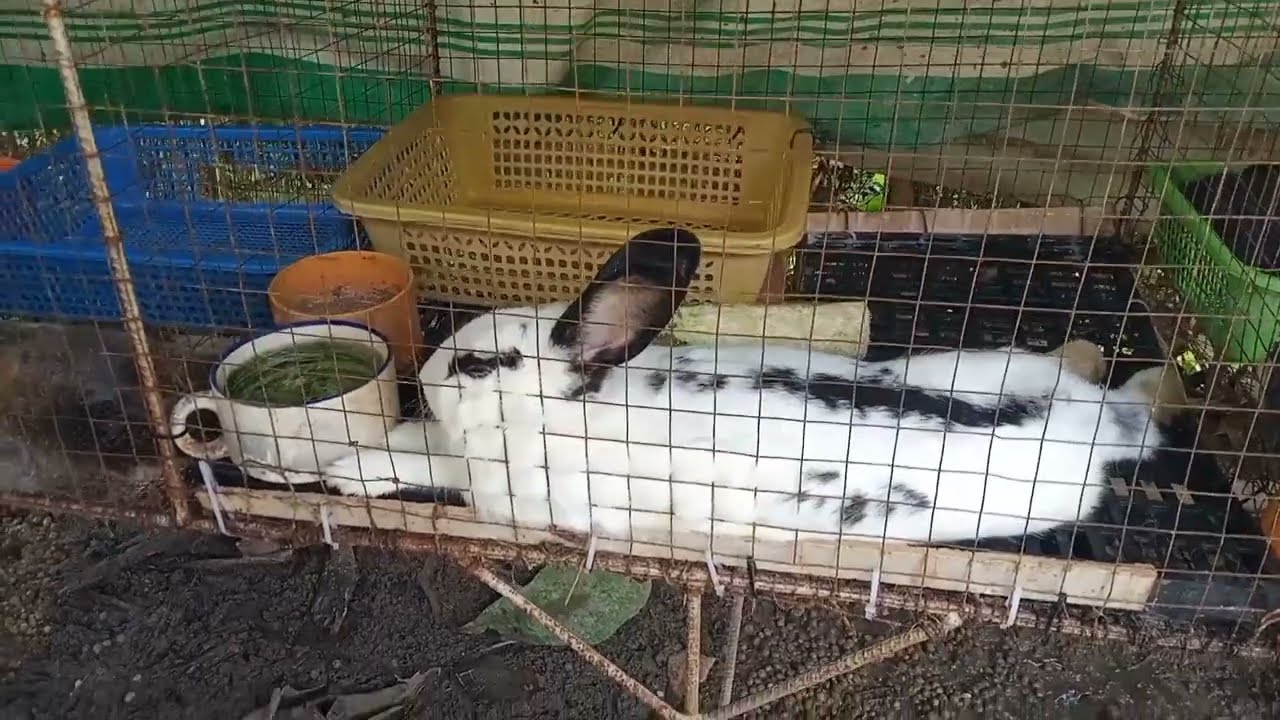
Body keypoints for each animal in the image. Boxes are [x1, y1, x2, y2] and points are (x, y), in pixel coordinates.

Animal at [306, 227, 1186, 545]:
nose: (424, 373)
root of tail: (1099, 422)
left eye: (479, 366)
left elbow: (433, 463)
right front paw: (352, 459)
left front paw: (349, 473)